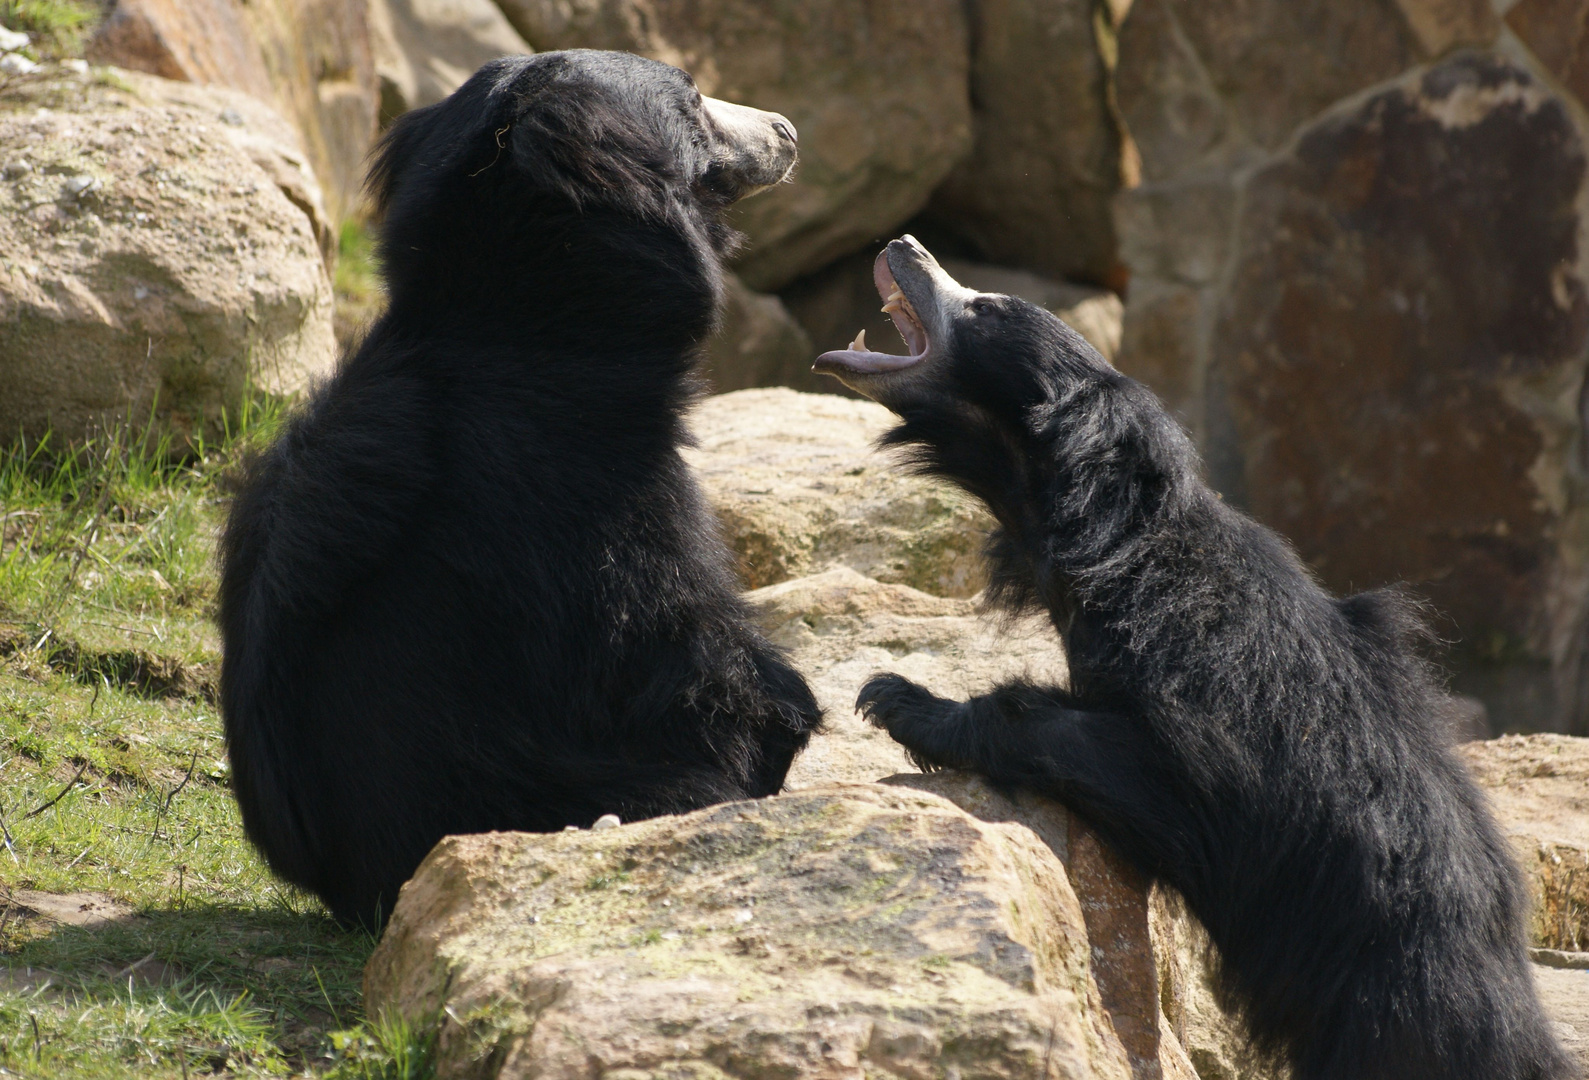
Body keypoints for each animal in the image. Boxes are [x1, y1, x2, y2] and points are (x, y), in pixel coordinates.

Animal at [214, 52, 819, 927]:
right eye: (694, 99)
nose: (787, 131)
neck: (520, 316)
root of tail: (365, 895)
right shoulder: (595, 497)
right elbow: (700, 675)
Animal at [819, 236, 1576, 1080]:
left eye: (983, 306)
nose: (904, 244)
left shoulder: (1198, 713)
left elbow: (1128, 759)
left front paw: (897, 699)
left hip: (1375, 1001)